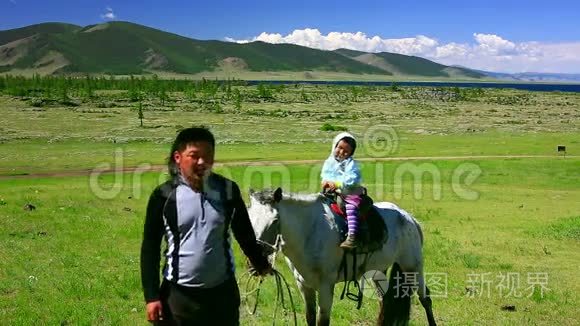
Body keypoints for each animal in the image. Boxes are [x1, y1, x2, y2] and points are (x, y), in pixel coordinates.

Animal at [246, 188, 436, 326]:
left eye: (275, 221)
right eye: (248, 218)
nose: (255, 263)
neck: (308, 232)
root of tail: (409, 217)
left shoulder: (325, 287)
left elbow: (322, 322)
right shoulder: (303, 285)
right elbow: (310, 318)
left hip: (413, 267)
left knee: (425, 298)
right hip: (378, 271)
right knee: (385, 300)